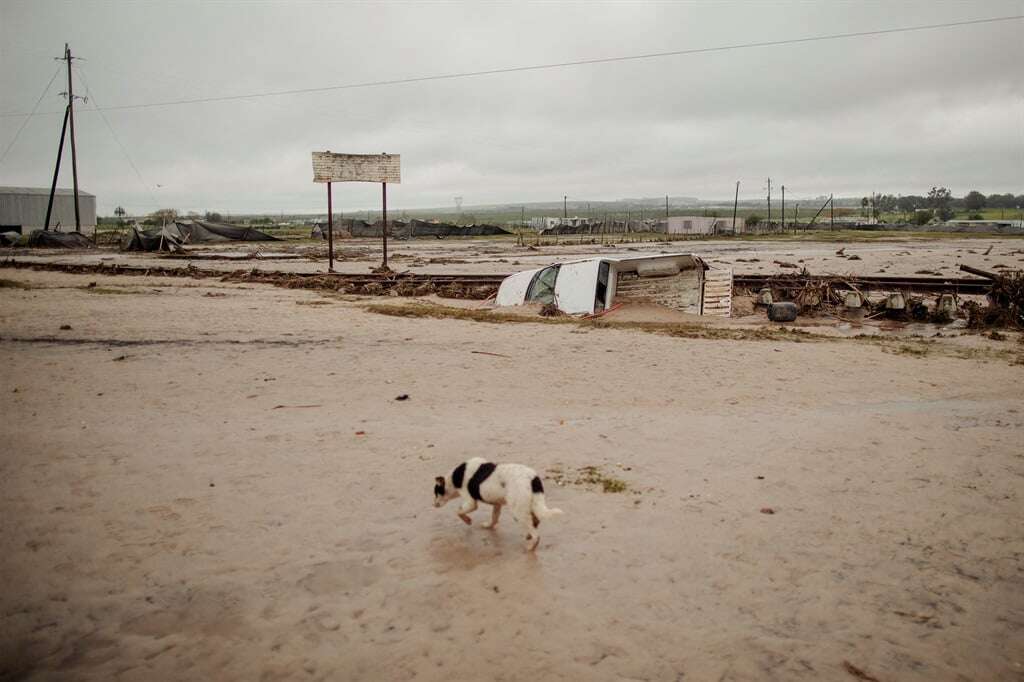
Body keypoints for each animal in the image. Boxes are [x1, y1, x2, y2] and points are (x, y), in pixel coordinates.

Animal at [432, 456, 561, 548]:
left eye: (436, 492)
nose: (433, 505)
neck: (454, 478)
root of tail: (533, 479)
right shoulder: (497, 504)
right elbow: (494, 517)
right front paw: (488, 526)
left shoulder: (471, 503)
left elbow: (458, 511)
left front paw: (468, 521)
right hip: (532, 504)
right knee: (535, 521)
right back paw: (529, 535)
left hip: (517, 512)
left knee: (536, 533)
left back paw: (531, 546)